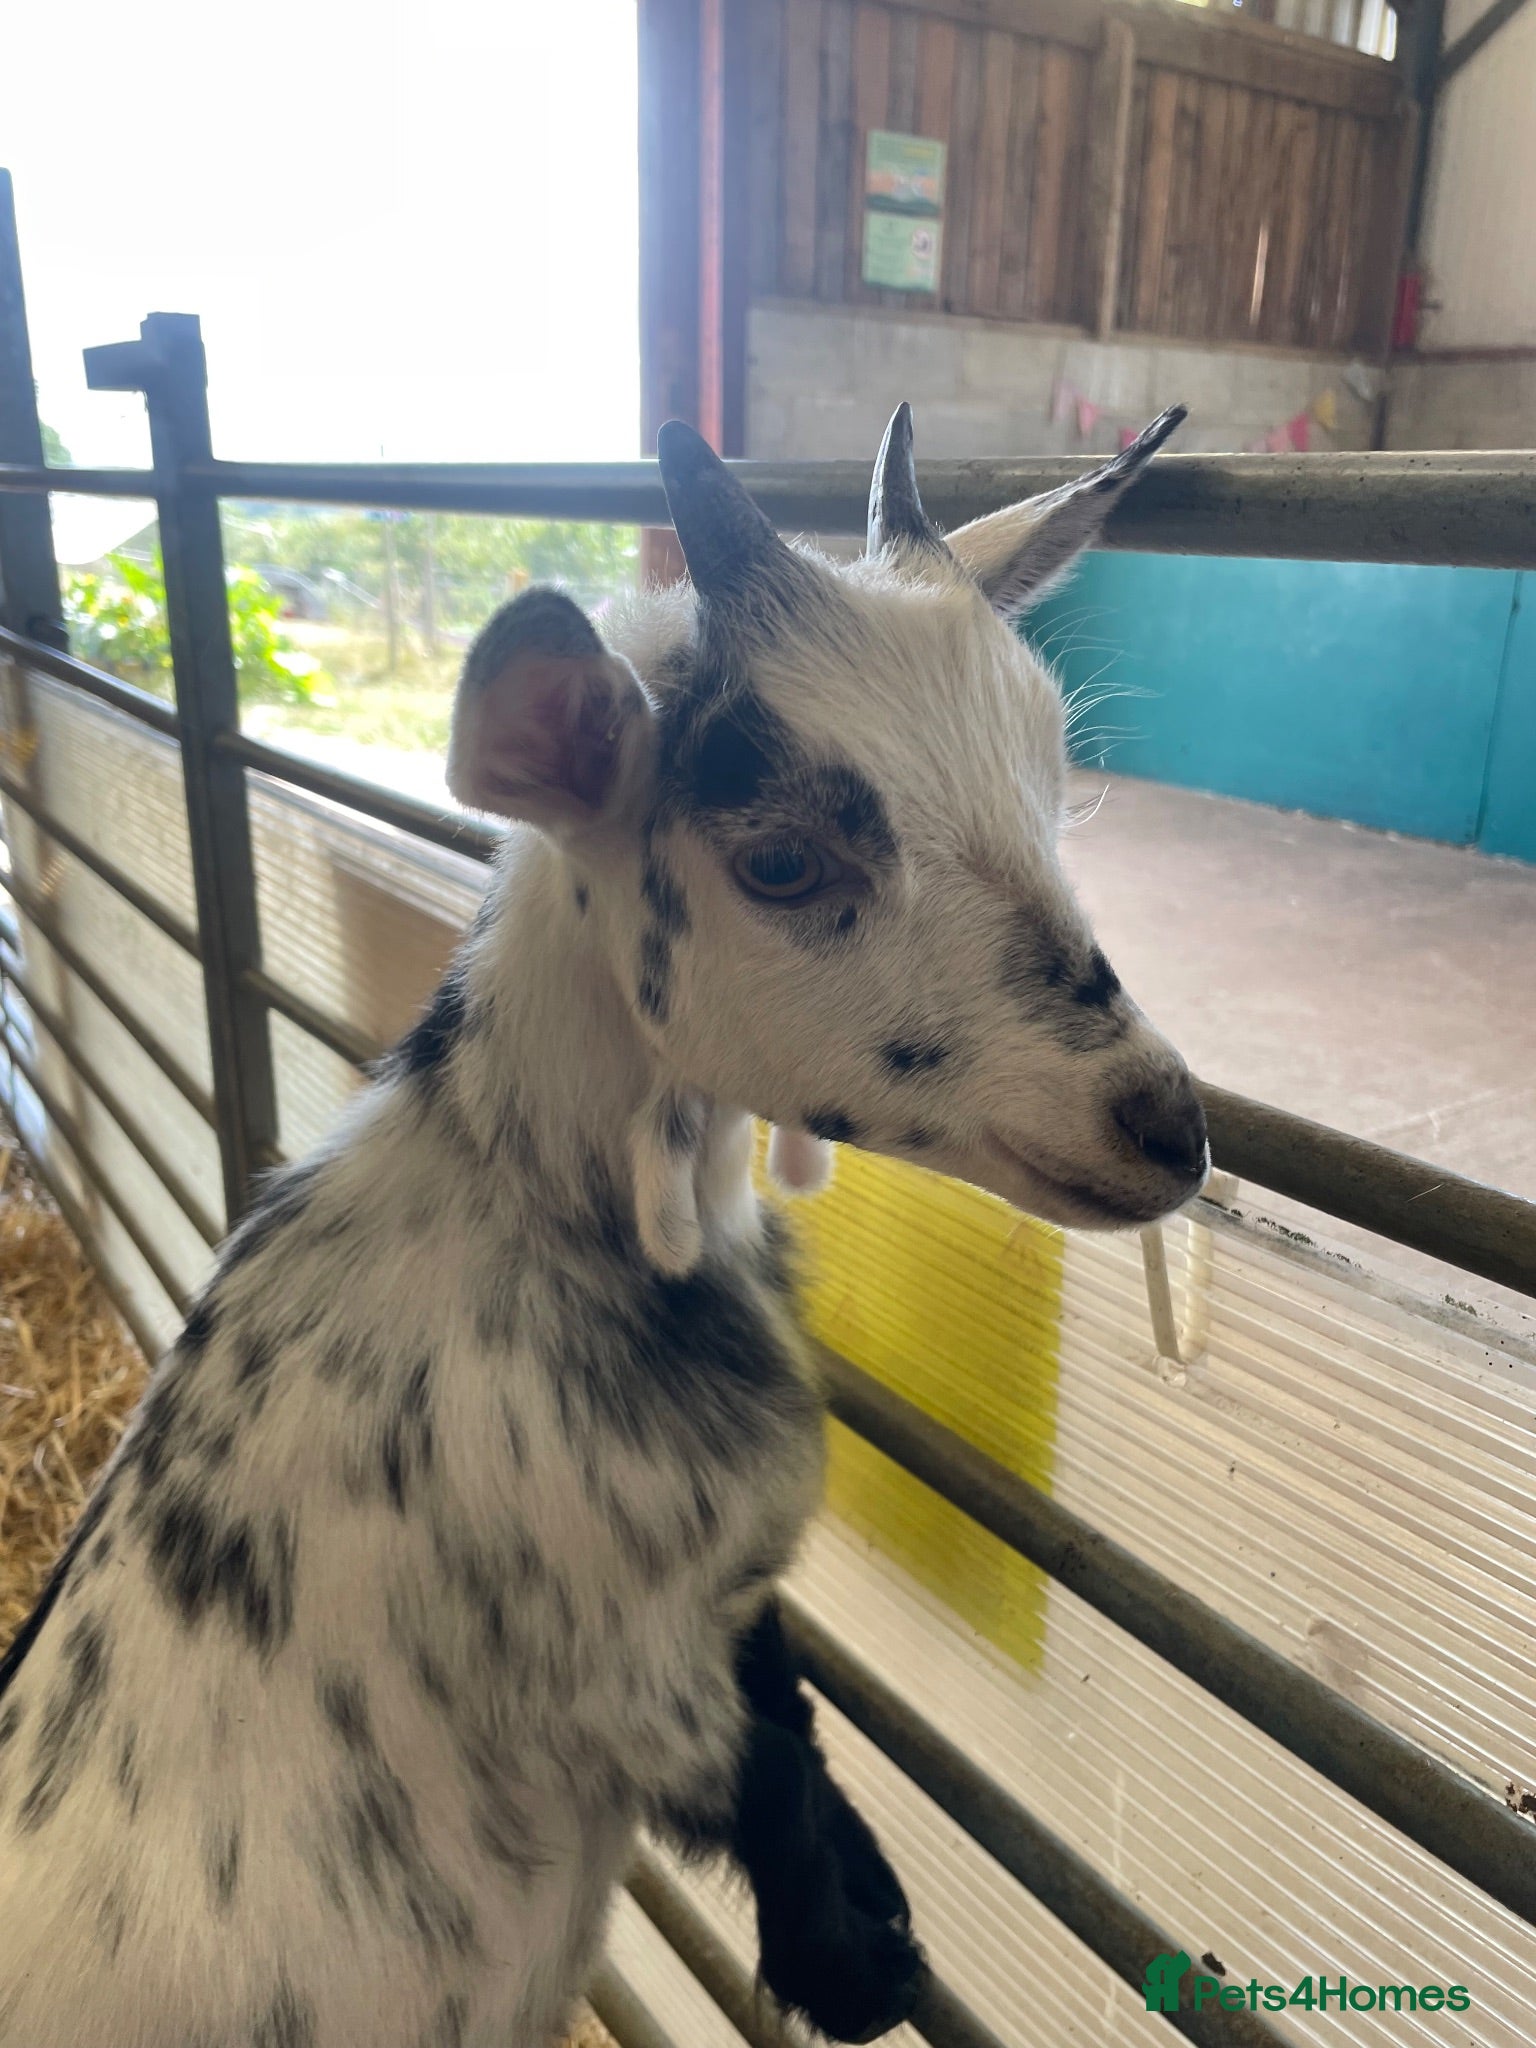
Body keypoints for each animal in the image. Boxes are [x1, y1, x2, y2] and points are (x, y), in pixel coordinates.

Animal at [0, 405, 1206, 2048]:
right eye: (781, 860)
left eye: (1051, 771)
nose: (1166, 1125)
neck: (528, 1202)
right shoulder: (620, 1664)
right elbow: (759, 1778)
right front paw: (862, 1964)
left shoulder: (727, 1599)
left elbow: (791, 1710)